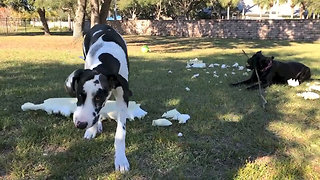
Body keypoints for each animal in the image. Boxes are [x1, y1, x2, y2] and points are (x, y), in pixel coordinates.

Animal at [64, 23, 131, 172]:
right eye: (79, 95)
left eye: (99, 98)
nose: (80, 124)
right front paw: (92, 129)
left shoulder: (122, 97)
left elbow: (121, 132)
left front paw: (121, 159)